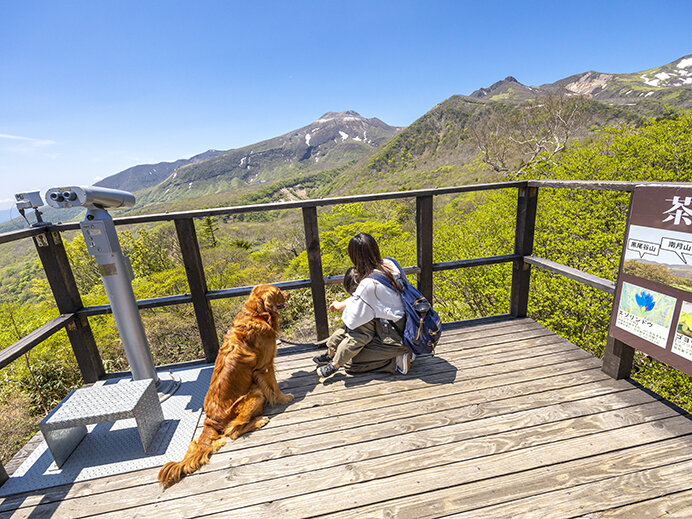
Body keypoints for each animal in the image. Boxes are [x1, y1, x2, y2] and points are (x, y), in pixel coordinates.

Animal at [157, 284, 292, 488]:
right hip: (254, 395)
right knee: (232, 432)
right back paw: (259, 420)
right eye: (278, 291)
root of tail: (210, 420)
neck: (256, 314)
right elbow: (274, 387)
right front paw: (284, 398)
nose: (289, 293)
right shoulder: (265, 366)